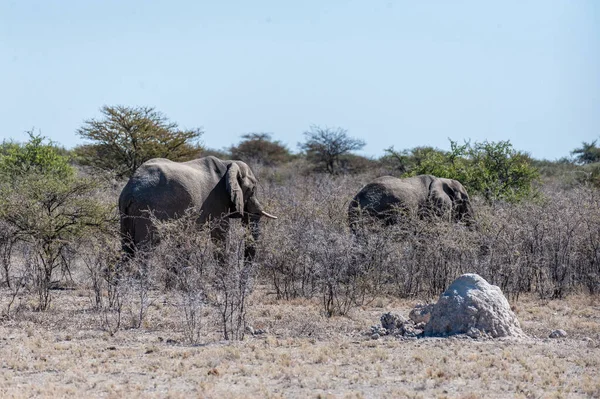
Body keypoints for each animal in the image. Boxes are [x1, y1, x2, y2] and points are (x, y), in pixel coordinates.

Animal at [118, 156, 278, 262]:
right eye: (252, 189)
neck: (229, 164)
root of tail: (130, 190)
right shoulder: (217, 199)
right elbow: (220, 233)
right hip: (148, 209)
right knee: (146, 247)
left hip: (125, 213)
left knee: (127, 248)